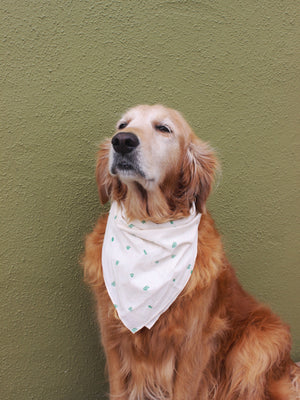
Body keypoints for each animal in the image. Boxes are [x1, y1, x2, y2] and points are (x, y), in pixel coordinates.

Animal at [82, 104, 300, 398]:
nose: (122, 141)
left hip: (257, 345)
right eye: (122, 125)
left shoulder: (193, 344)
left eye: (164, 128)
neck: (150, 224)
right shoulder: (113, 338)